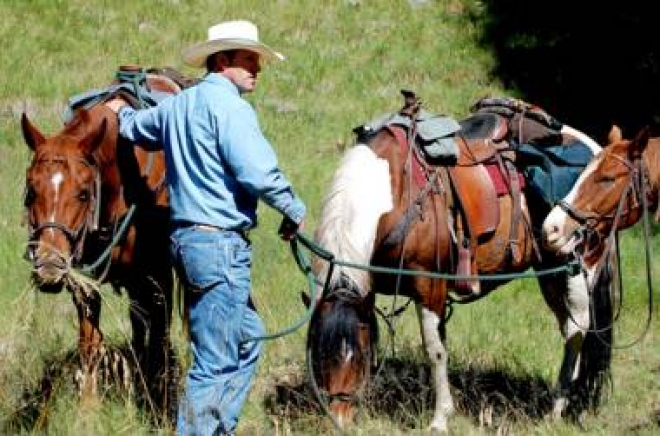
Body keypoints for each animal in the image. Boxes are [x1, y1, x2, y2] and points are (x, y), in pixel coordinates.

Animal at [22, 69, 187, 416]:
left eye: (84, 193)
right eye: (31, 191)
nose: (49, 267)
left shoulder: (159, 277)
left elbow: (160, 337)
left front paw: (160, 407)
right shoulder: (85, 280)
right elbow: (90, 343)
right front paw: (88, 410)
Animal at [306, 93, 616, 432]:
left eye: (357, 355)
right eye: (318, 355)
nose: (338, 420)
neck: (397, 195)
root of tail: (597, 150)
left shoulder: (429, 286)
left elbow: (435, 351)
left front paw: (441, 418)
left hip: (577, 267)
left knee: (577, 329)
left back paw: (557, 409)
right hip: (549, 272)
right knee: (570, 329)